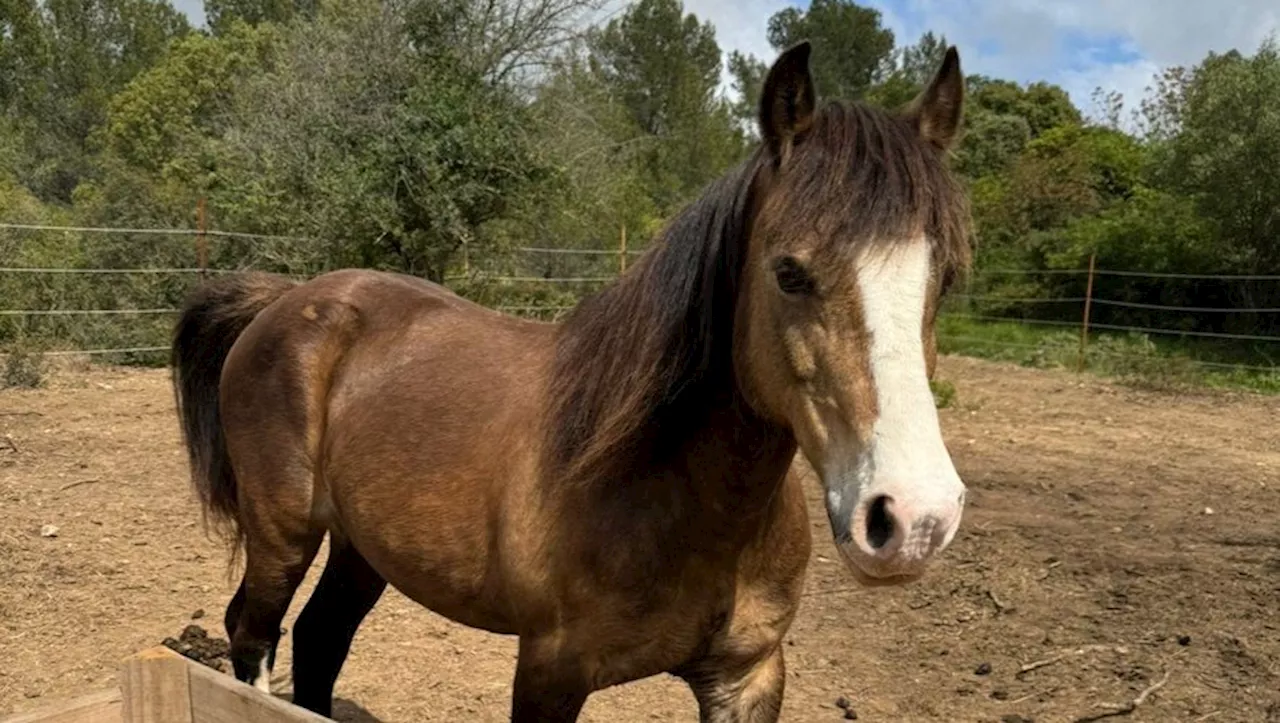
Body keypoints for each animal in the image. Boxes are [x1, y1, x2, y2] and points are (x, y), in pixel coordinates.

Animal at [167, 43, 967, 721]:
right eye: (789, 272)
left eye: (948, 276)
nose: (913, 518)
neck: (673, 492)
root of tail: (286, 299)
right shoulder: (551, 671)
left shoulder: (748, 676)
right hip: (283, 535)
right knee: (254, 634)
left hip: (363, 548)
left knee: (320, 638)